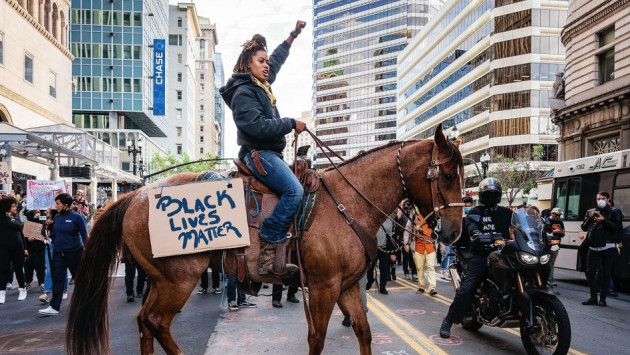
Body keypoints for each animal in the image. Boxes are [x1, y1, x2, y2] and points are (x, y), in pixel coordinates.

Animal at [66, 124, 466, 354]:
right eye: (446, 175)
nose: (454, 232)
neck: (347, 202)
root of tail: (136, 194)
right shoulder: (323, 286)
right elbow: (317, 339)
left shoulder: (347, 285)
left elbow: (364, 333)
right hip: (179, 278)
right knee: (156, 322)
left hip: (160, 279)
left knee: (145, 323)